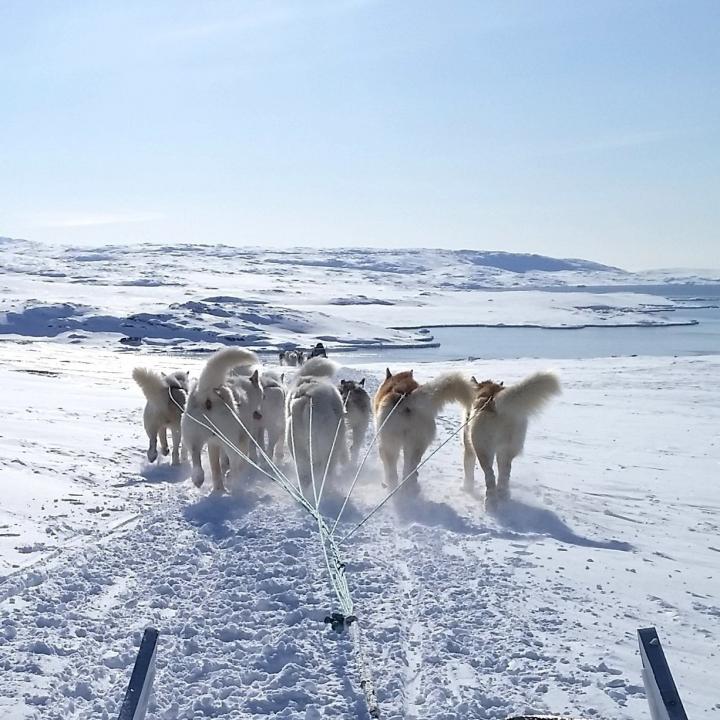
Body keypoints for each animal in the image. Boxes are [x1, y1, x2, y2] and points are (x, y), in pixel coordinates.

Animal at [181, 346, 260, 492]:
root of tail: (207, 395)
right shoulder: (243, 437)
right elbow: (240, 459)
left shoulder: (213, 443)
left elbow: (217, 467)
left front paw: (219, 484)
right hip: (230, 440)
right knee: (234, 463)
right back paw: (234, 481)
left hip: (193, 436)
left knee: (195, 456)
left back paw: (199, 479)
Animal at [462, 374, 564, 504]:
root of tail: (495, 400)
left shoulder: (469, 447)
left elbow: (468, 470)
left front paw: (467, 488)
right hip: (508, 450)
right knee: (504, 474)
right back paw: (503, 495)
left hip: (483, 449)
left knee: (490, 475)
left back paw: (491, 502)